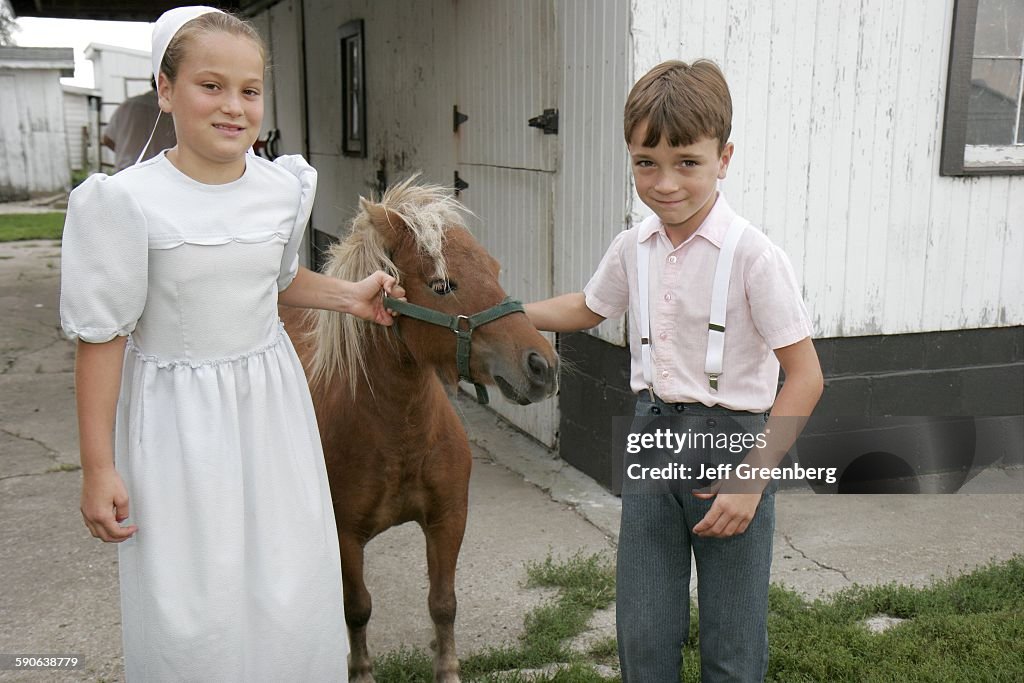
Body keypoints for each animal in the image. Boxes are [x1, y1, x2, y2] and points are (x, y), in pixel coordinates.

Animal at [280, 179, 557, 679]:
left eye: (495, 269)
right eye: (442, 285)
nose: (542, 366)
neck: (397, 434)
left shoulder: (448, 519)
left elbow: (443, 604)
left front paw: (448, 669)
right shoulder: (345, 537)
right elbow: (357, 608)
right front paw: (361, 671)